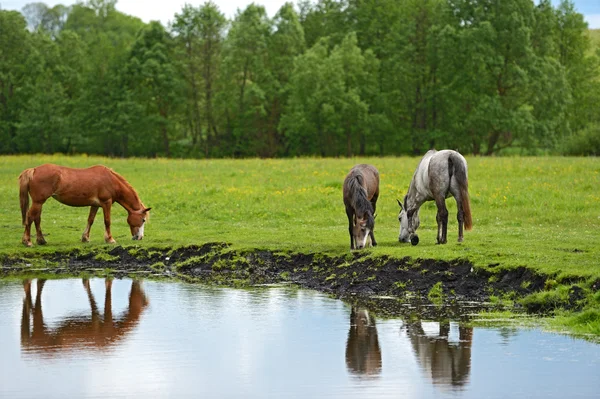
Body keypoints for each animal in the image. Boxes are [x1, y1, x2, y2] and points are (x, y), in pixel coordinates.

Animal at [19, 163, 151, 247]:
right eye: (143, 220)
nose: (139, 237)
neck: (111, 180)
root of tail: (34, 170)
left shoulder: (95, 205)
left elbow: (90, 220)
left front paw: (85, 238)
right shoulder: (106, 203)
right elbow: (107, 221)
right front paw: (110, 239)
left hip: (39, 203)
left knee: (37, 219)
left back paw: (41, 240)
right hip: (38, 202)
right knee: (30, 217)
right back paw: (27, 241)